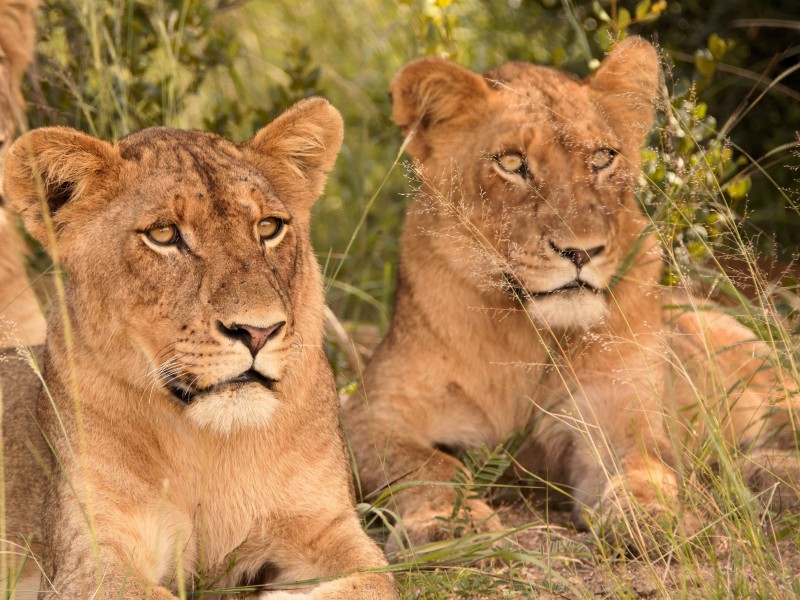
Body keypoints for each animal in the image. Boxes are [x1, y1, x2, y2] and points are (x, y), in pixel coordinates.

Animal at [1, 98, 397, 599]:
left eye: (268, 226)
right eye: (164, 235)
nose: (258, 332)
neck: (210, 447)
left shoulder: (329, 524)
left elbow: (376, 578)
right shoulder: (87, 562)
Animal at [343, 37, 799, 555]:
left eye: (602, 157)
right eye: (511, 162)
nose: (581, 251)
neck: (522, 334)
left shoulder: (618, 410)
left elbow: (644, 460)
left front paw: (651, 514)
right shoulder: (370, 413)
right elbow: (427, 465)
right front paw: (450, 524)